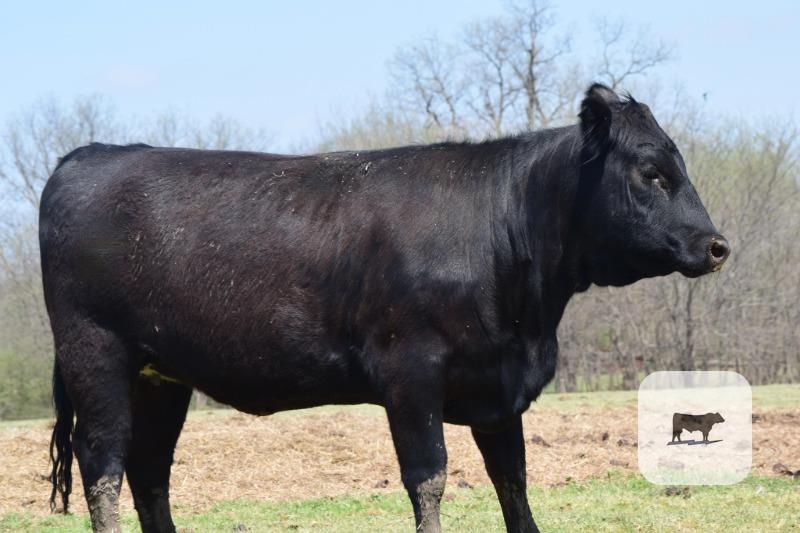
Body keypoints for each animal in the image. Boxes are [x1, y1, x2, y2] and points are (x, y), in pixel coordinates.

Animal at [40, 83, 729, 533]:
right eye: (651, 173)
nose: (716, 245)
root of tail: (90, 154)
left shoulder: (497, 387)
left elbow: (513, 481)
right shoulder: (410, 372)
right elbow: (429, 478)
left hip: (162, 374)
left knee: (149, 470)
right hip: (96, 353)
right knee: (102, 464)